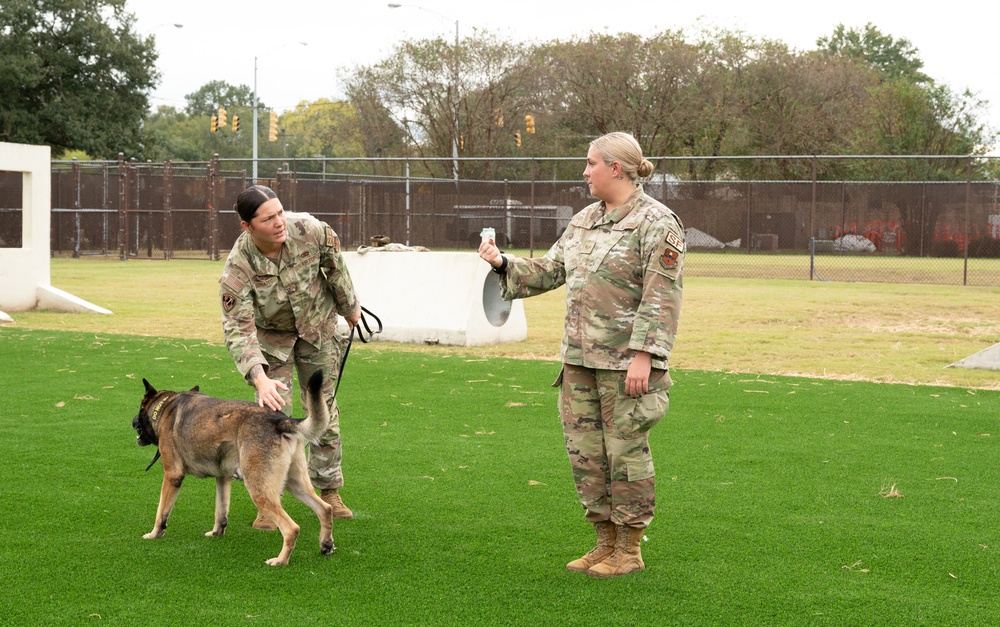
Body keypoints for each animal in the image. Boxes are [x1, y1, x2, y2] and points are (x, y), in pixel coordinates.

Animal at [131, 370, 336, 568]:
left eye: (140, 408)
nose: (132, 421)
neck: (165, 407)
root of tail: (279, 420)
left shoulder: (172, 476)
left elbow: (161, 511)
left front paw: (155, 534)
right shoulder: (223, 478)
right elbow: (220, 510)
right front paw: (217, 532)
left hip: (259, 491)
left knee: (292, 528)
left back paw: (280, 560)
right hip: (295, 485)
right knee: (325, 509)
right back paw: (326, 545)